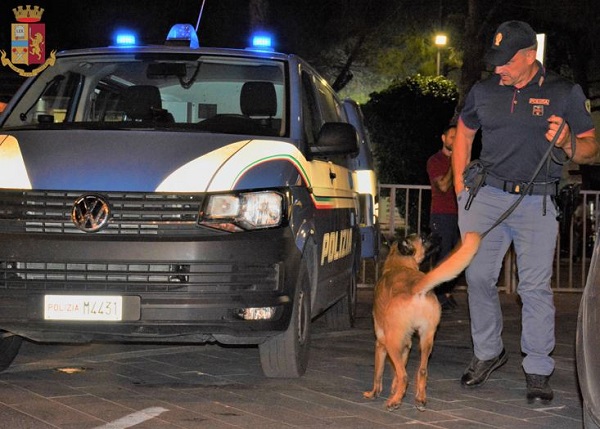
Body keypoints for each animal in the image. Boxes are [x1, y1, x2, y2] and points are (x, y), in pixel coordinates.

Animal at [360, 231, 482, 412]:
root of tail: (416, 287)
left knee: (405, 376)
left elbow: (379, 373)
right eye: (423, 238)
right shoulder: (406, 345)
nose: (439, 237)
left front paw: (374, 393)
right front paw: (396, 390)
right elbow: (396, 373)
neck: (398, 264)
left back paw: (394, 402)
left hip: (391, 343)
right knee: (422, 371)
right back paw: (419, 399)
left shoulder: (381, 345)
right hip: (427, 339)